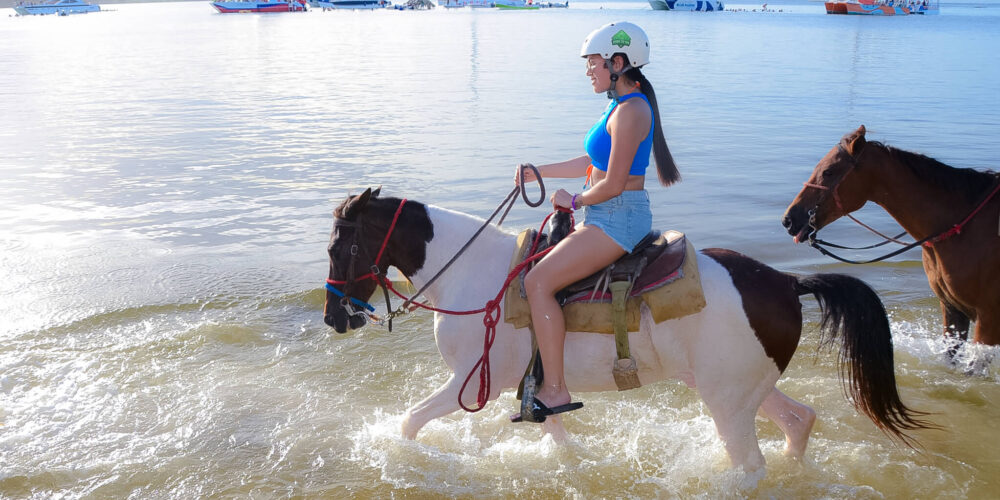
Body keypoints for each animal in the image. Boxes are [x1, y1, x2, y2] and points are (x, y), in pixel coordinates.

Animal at [326, 188, 928, 480]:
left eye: (338, 246)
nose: (335, 318)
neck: (474, 273)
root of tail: (785, 280)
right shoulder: (536, 389)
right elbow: (557, 435)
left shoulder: (473, 384)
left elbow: (408, 423)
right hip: (740, 388)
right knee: (799, 420)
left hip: (728, 402)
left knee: (749, 464)